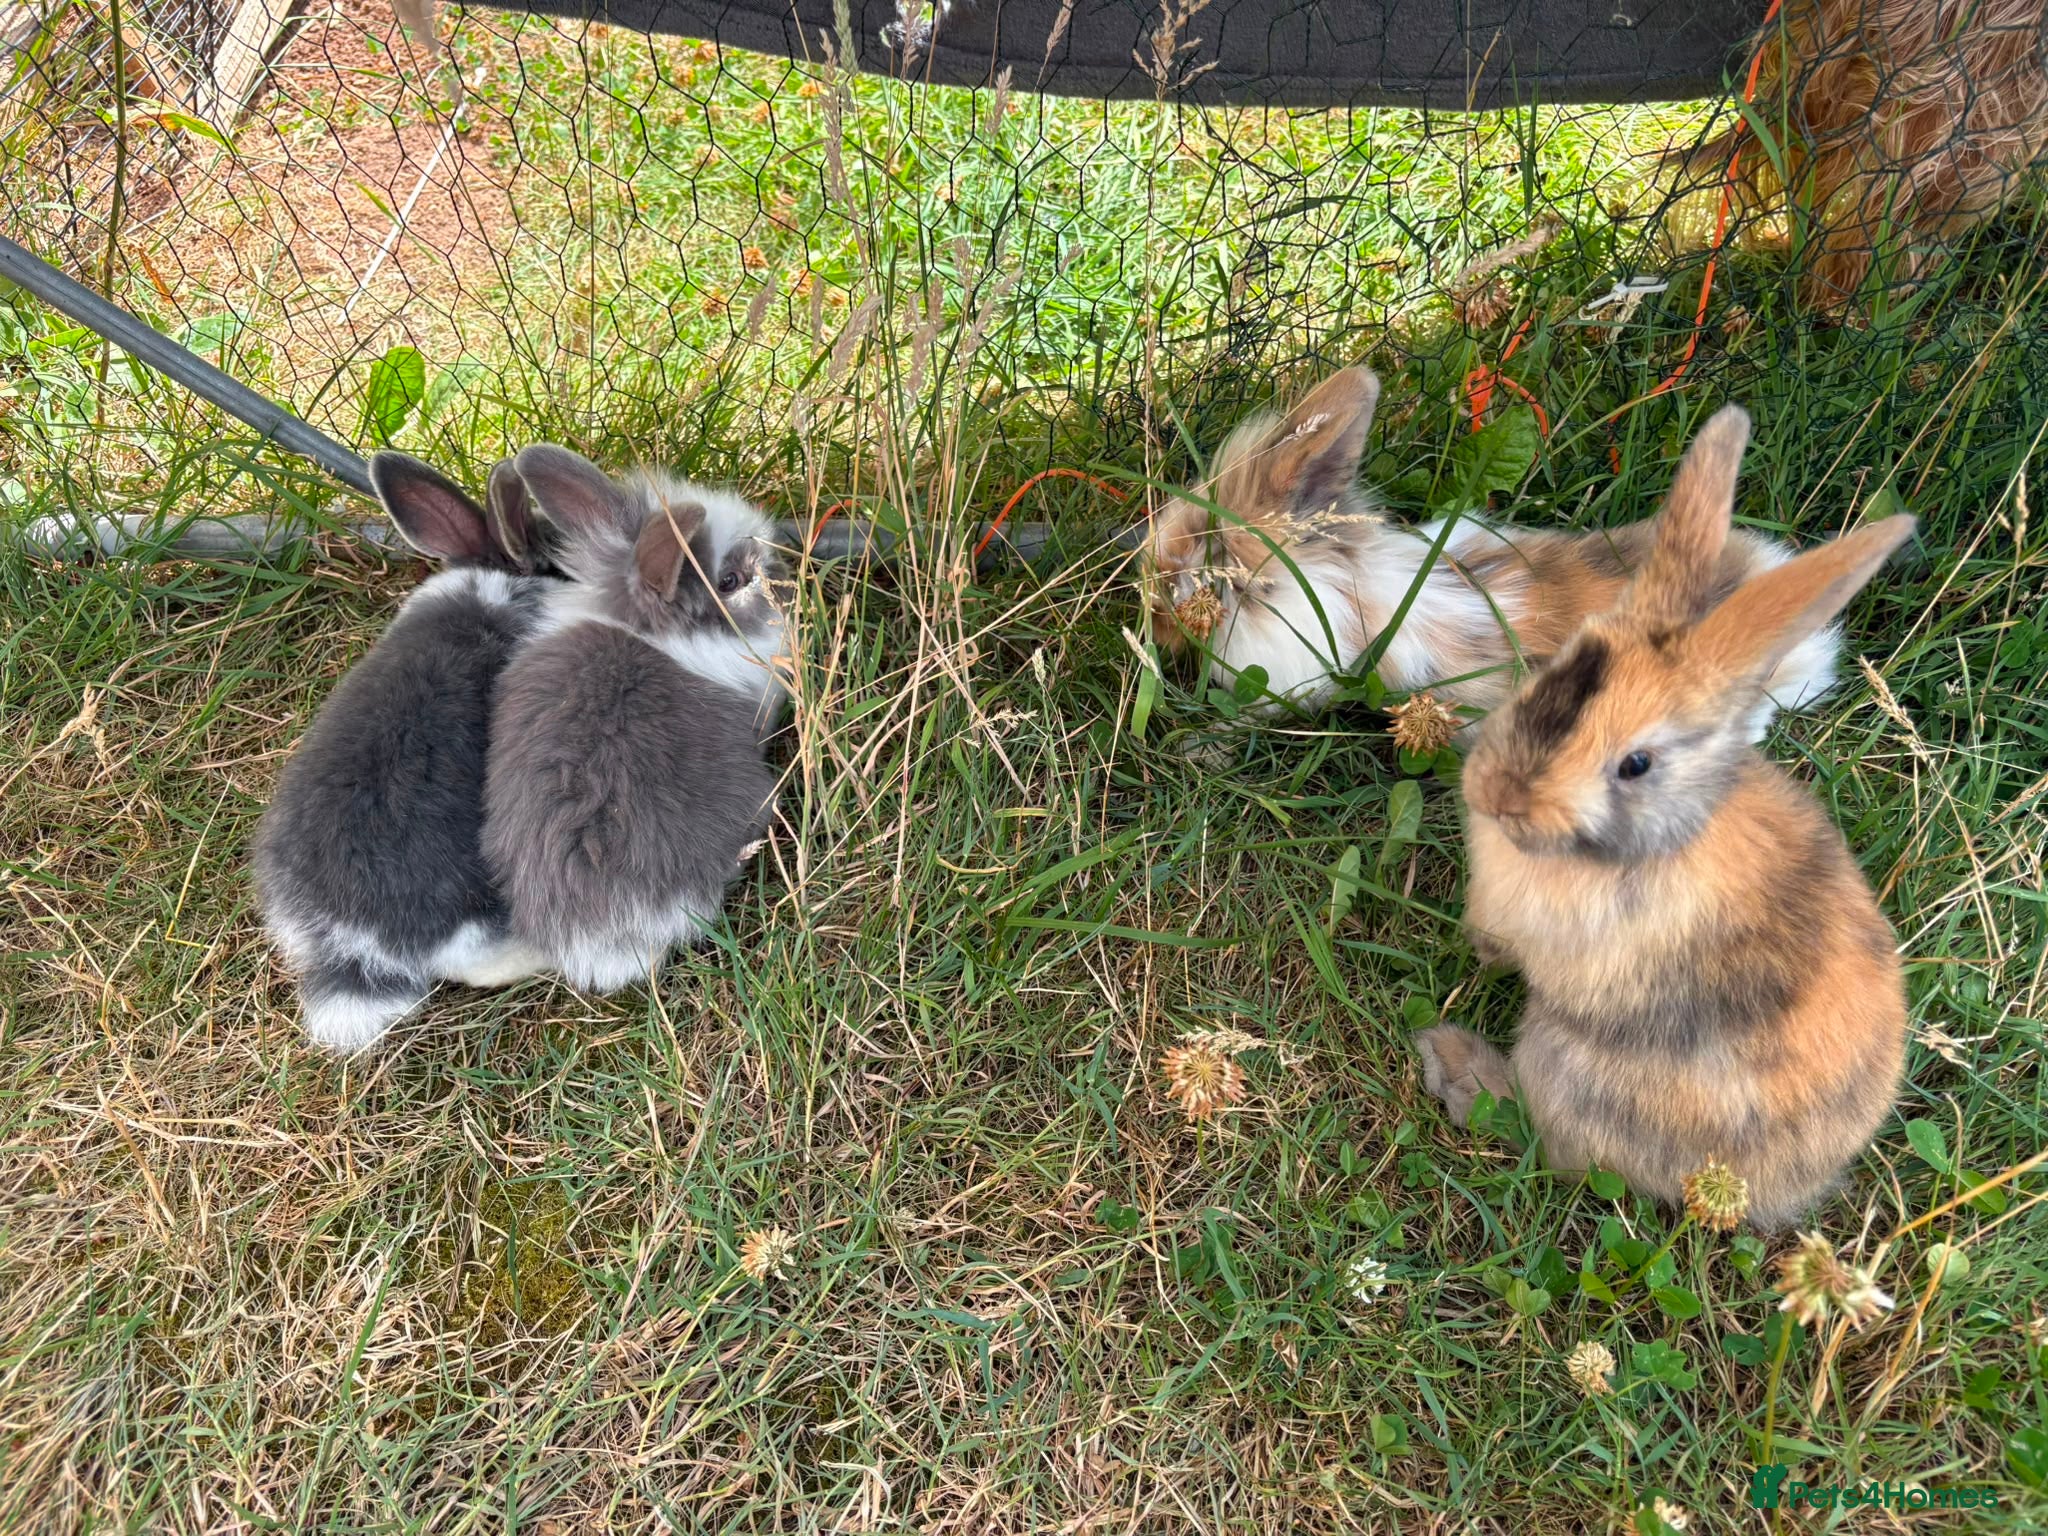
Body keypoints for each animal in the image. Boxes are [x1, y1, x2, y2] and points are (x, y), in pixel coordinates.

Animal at [1413, 406, 1915, 1230]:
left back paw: (1453, 1062)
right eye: (1553, 670)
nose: (1497, 796)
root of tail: (1777, 1189)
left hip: (1564, 1062)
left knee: (1546, 1138)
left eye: (1637, 764)